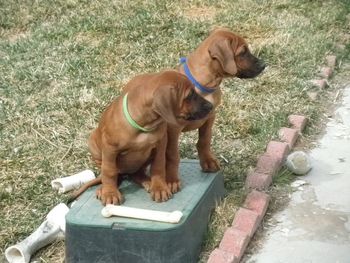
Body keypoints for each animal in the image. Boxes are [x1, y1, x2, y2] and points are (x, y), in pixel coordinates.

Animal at [87, 70, 213, 206]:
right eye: (189, 95)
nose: (211, 106)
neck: (144, 125)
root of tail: (126, 173)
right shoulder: (110, 149)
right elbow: (109, 172)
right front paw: (110, 193)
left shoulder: (160, 144)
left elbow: (158, 166)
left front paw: (159, 188)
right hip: (93, 143)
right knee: (111, 173)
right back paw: (103, 188)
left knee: (136, 174)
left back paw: (147, 181)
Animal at [167, 29, 266, 194]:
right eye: (242, 52)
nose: (264, 65)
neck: (204, 85)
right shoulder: (173, 128)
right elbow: (172, 155)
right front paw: (171, 181)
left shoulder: (210, 117)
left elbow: (204, 140)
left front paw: (208, 162)